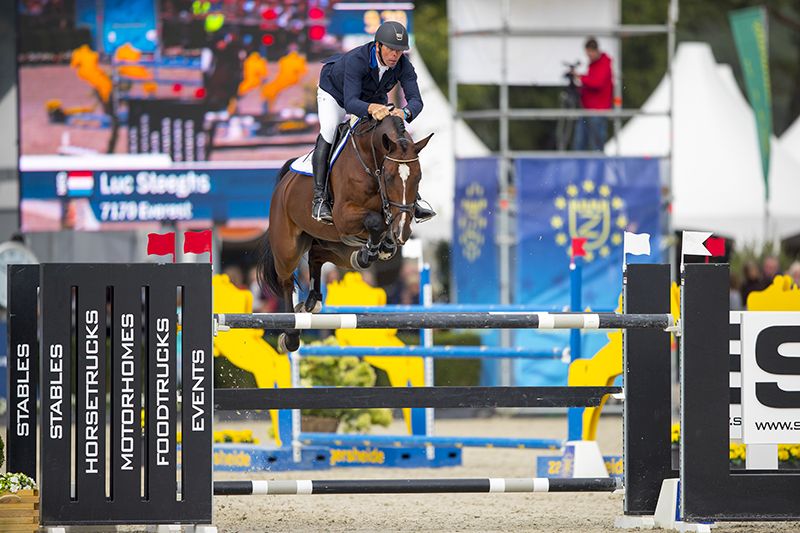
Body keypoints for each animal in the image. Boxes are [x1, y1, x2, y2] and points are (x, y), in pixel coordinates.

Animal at [256, 114, 432, 352]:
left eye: (419, 177)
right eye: (388, 177)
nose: (402, 231)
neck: (370, 162)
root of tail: (285, 182)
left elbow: (383, 225)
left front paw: (383, 247)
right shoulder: (344, 216)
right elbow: (376, 221)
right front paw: (374, 249)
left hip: (335, 243)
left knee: (317, 256)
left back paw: (313, 300)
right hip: (288, 248)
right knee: (286, 280)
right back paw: (291, 336)